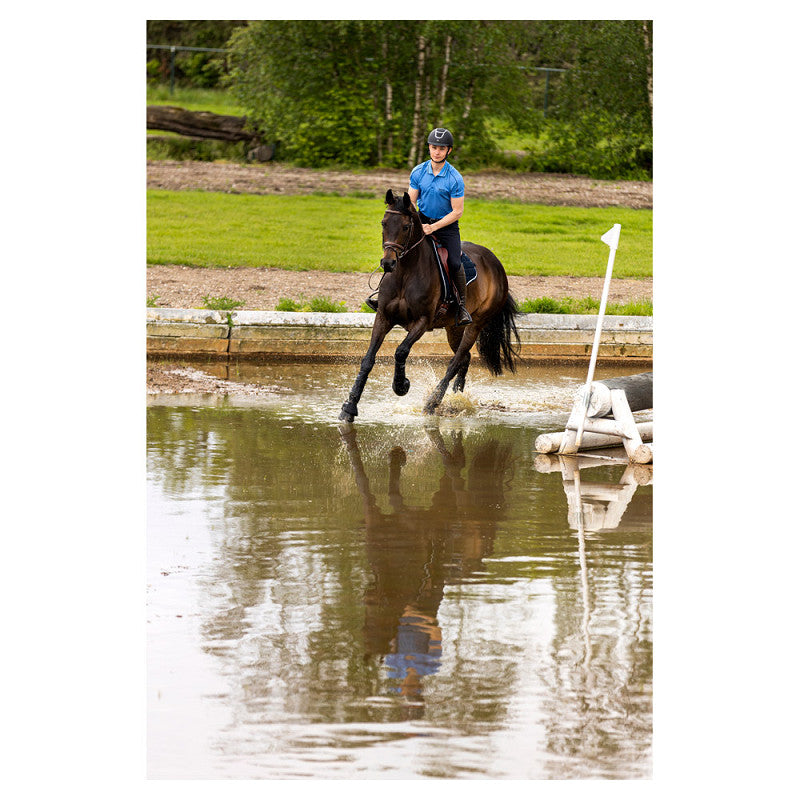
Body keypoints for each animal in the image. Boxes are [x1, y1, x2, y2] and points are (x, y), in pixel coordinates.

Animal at [336, 189, 520, 424]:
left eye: (406, 227)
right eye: (383, 223)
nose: (388, 264)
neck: (405, 272)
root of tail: (495, 263)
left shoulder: (422, 322)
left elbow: (401, 351)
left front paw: (401, 385)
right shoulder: (384, 317)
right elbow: (368, 360)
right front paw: (349, 407)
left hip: (475, 324)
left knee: (456, 361)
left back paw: (433, 402)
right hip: (453, 327)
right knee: (464, 358)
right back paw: (455, 398)